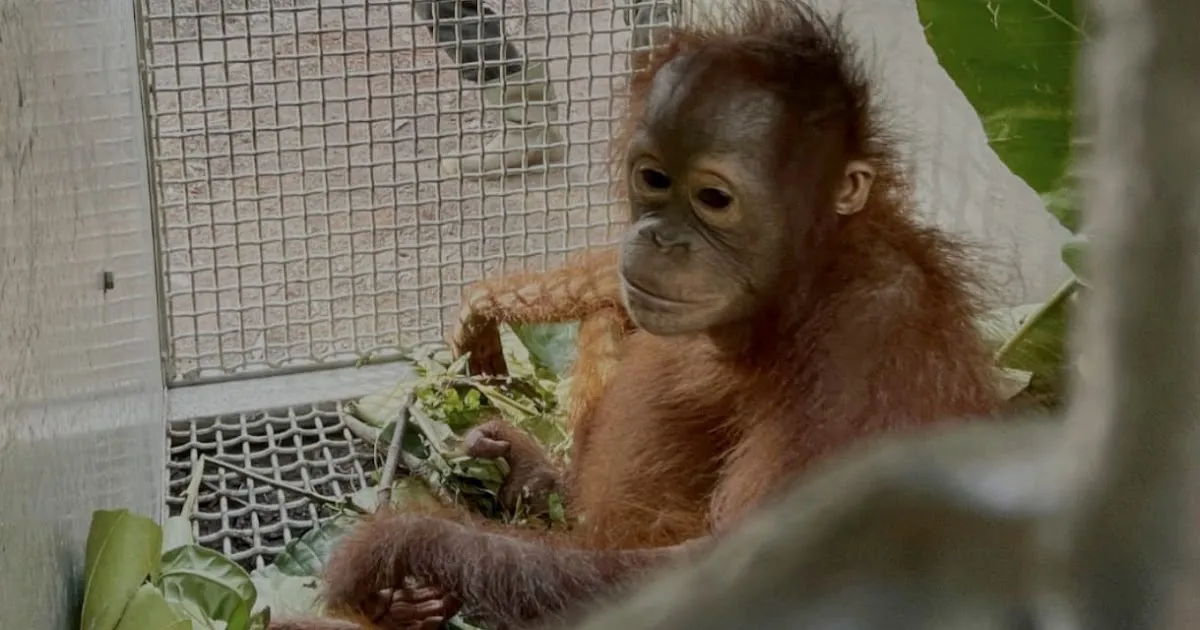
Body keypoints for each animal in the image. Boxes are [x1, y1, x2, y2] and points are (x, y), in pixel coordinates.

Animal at [269, 1, 1008, 628]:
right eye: (653, 178)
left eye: (714, 198)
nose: (660, 239)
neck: (801, 285)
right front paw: (509, 461)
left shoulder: (869, 343)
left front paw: (404, 543)